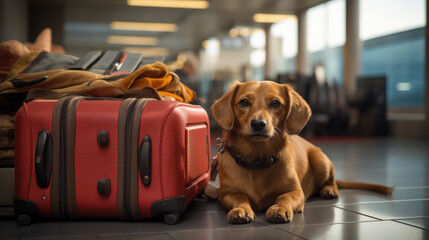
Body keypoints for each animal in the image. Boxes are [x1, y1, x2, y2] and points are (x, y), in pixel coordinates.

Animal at [211, 81, 392, 225]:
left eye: (275, 103)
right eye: (244, 102)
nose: (258, 124)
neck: (257, 157)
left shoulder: (297, 192)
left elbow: (284, 197)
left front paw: (279, 208)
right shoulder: (226, 195)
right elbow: (240, 198)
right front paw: (241, 210)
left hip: (320, 160)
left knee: (331, 181)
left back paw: (329, 190)